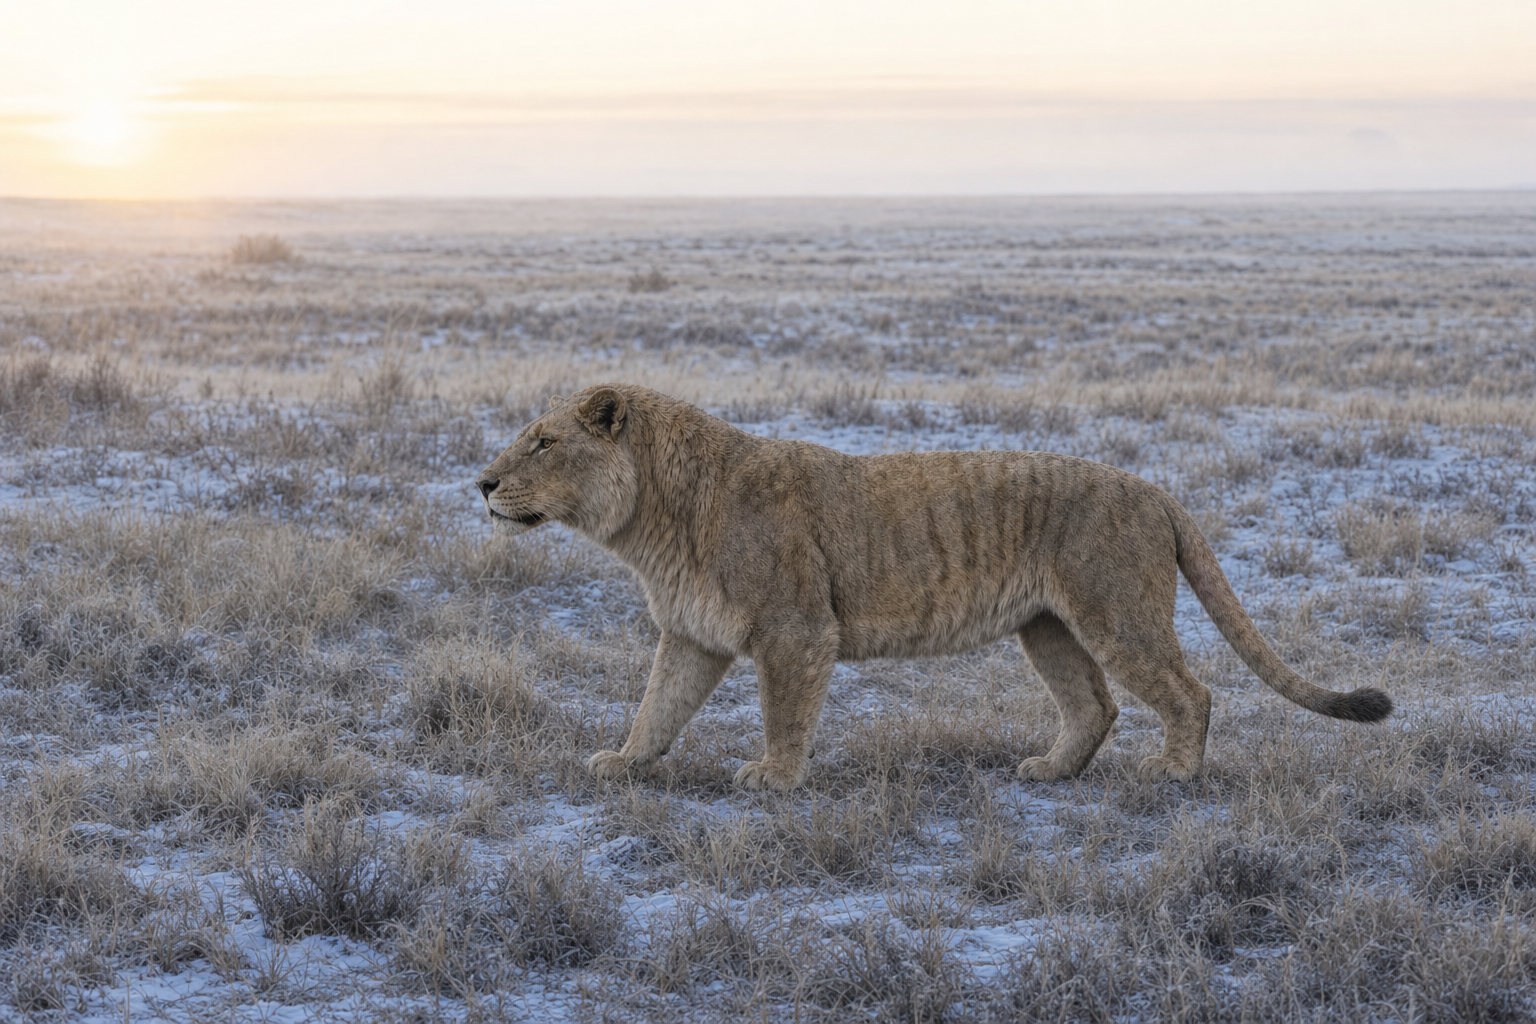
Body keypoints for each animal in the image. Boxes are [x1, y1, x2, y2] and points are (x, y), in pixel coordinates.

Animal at [476, 384, 1391, 791]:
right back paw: (1050, 771)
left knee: (1189, 691)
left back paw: (1173, 773)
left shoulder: (796, 629)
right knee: (1095, 704)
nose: (481, 483)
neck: (656, 524)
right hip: (1047, 625)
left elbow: (783, 712)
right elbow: (656, 706)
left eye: (544, 442)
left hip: (1115, 612)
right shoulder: (695, 634)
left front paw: (775, 778)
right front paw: (624, 762)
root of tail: (1154, 487)